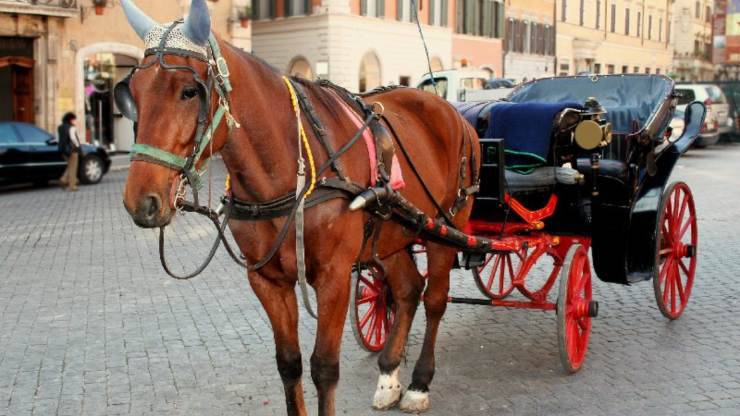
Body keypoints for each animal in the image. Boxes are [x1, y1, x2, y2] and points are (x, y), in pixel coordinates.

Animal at [120, 1, 480, 414]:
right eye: (132, 94)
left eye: (189, 91)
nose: (141, 200)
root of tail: (451, 110)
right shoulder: (268, 281)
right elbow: (288, 364)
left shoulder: (334, 278)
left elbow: (323, 368)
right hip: (391, 235)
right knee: (407, 289)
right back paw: (389, 375)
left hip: (447, 226)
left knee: (434, 299)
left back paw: (420, 383)